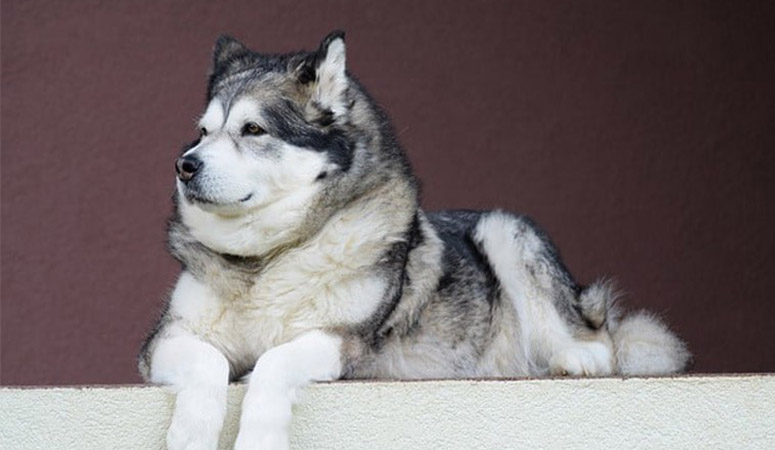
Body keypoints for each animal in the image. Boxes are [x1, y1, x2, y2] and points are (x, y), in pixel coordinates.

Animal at [139, 31, 692, 450]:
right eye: (203, 132)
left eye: (253, 129)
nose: (184, 165)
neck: (271, 256)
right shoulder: (163, 342)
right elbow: (209, 361)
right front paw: (192, 432)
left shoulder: (343, 341)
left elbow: (274, 362)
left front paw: (259, 437)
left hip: (504, 228)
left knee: (599, 340)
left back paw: (577, 356)